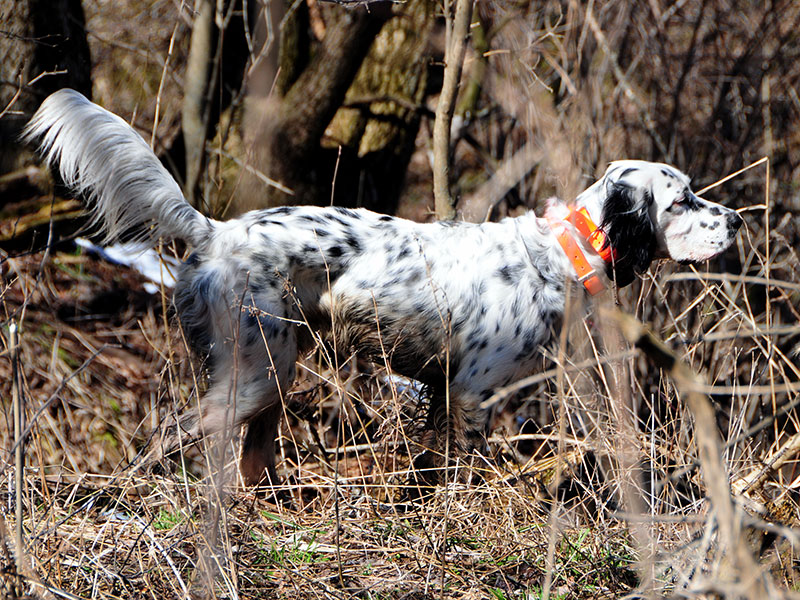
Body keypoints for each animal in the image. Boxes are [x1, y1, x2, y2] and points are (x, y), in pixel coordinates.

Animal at [24, 89, 743, 486]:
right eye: (683, 199)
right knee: (166, 437)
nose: (736, 219)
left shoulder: (445, 391)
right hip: (257, 370)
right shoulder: (474, 393)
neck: (555, 254)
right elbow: (461, 470)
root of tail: (216, 231)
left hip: (273, 374)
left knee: (252, 461)